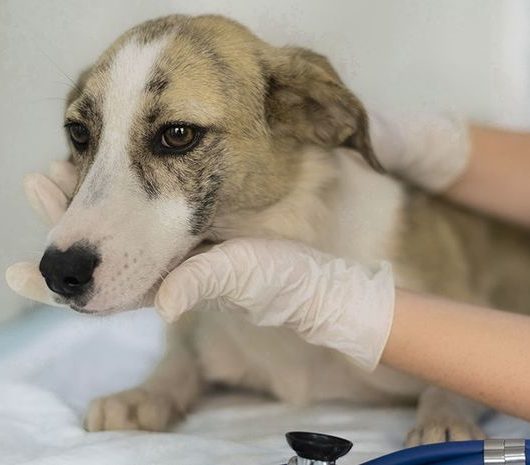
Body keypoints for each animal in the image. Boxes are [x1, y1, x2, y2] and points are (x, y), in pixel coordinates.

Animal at [39, 13, 528, 442]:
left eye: (177, 134)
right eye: (78, 133)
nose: (59, 272)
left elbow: (453, 382)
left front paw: (443, 420)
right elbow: (179, 359)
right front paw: (144, 393)